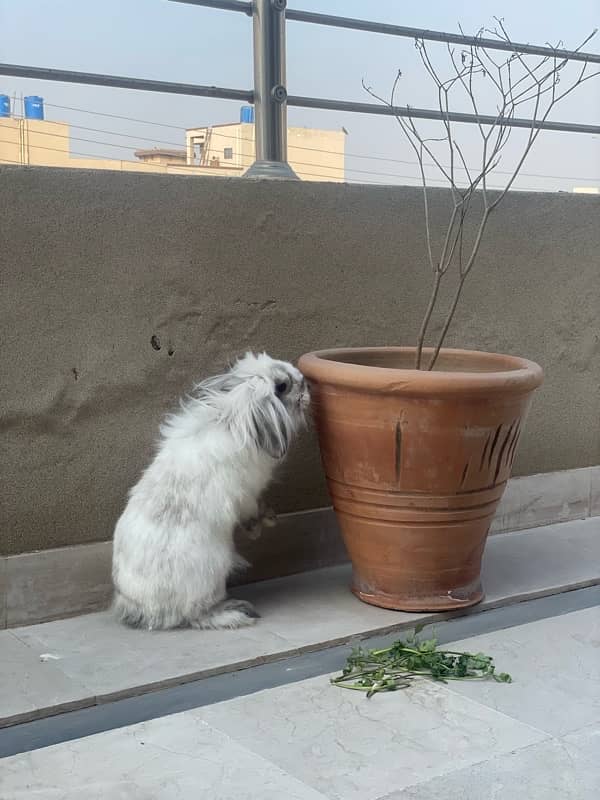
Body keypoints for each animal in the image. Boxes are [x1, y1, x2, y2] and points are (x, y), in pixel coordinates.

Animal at [111, 354, 310, 628]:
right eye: (282, 386)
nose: (305, 382)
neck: (231, 420)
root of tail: (143, 609)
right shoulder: (246, 496)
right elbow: (251, 511)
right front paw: (261, 526)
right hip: (212, 572)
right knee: (195, 615)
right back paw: (236, 613)